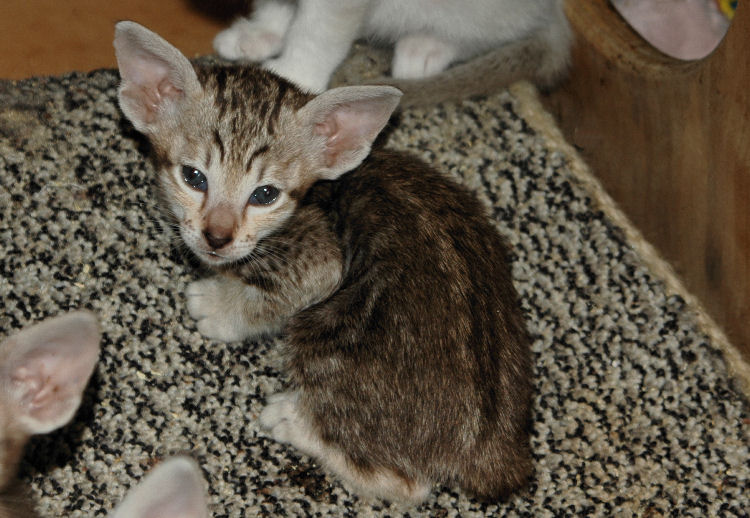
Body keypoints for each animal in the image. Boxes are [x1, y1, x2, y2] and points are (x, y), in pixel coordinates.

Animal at [115, 21, 533, 503]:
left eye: (265, 194)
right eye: (193, 177)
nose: (216, 237)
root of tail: (490, 452)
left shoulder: (322, 258)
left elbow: (279, 293)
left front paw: (220, 307)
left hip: (329, 331)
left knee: (408, 484)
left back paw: (292, 419)